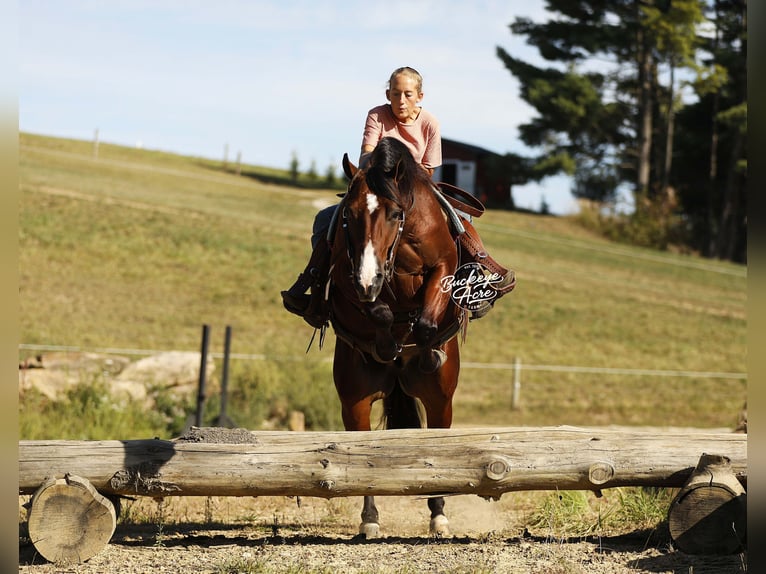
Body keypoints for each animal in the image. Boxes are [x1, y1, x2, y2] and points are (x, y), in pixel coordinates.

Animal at [326, 137, 465, 538]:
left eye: (394, 213)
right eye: (349, 214)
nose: (368, 279)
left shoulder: (444, 267)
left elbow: (427, 322)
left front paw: (428, 352)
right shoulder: (345, 273)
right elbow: (378, 311)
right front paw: (387, 343)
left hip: (440, 402)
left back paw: (439, 515)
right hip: (354, 402)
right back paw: (369, 519)